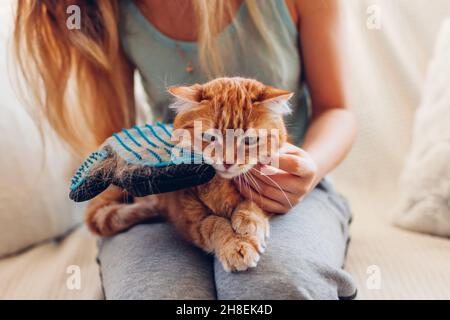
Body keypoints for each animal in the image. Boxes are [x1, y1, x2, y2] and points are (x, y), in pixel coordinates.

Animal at [86, 77, 294, 270]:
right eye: (210, 137)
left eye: (249, 140)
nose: (227, 162)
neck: (222, 185)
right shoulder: (189, 219)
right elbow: (214, 223)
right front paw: (234, 246)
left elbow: (254, 201)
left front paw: (248, 220)